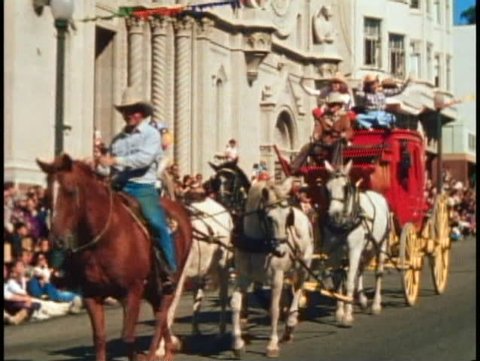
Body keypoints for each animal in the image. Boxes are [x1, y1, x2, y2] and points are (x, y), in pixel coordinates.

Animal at [36, 154, 193, 360]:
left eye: (70, 191)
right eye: (46, 196)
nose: (56, 241)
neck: (105, 240)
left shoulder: (132, 292)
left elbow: (128, 337)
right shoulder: (91, 295)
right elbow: (100, 338)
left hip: (171, 279)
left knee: (162, 313)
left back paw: (157, 351)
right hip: (152, 287)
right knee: (159, 310)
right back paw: (168, 350)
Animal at [157, 197, 233, 358]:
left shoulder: (177, 279)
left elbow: (168, 310)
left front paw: (161, 347)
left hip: (223, 263)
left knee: (223, 298)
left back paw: (221, 332)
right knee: (197, 298)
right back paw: (195, 330)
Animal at [230, 177, 314, 358]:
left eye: (288, 217)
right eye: (268, 218)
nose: (281, 251)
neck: (258, 244)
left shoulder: (276, 277)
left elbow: (273, 309)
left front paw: (272, 345)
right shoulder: (242, 277)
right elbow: (235, 304)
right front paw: (238, 343)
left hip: (303, 266)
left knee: (298, 289)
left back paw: (290, 324)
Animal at [322, 160, 390, 326]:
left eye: (345, 188)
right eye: (327, 188)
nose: (333, 214)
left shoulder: (353, 249)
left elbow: (349, 282)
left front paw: (347, 316)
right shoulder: (336, 252)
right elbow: (339, 280)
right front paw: (339, 312)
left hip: (381, 244)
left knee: (378, 273)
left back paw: (375, 304)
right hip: (366, 248)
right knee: (360, 269)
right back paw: (363, 300)